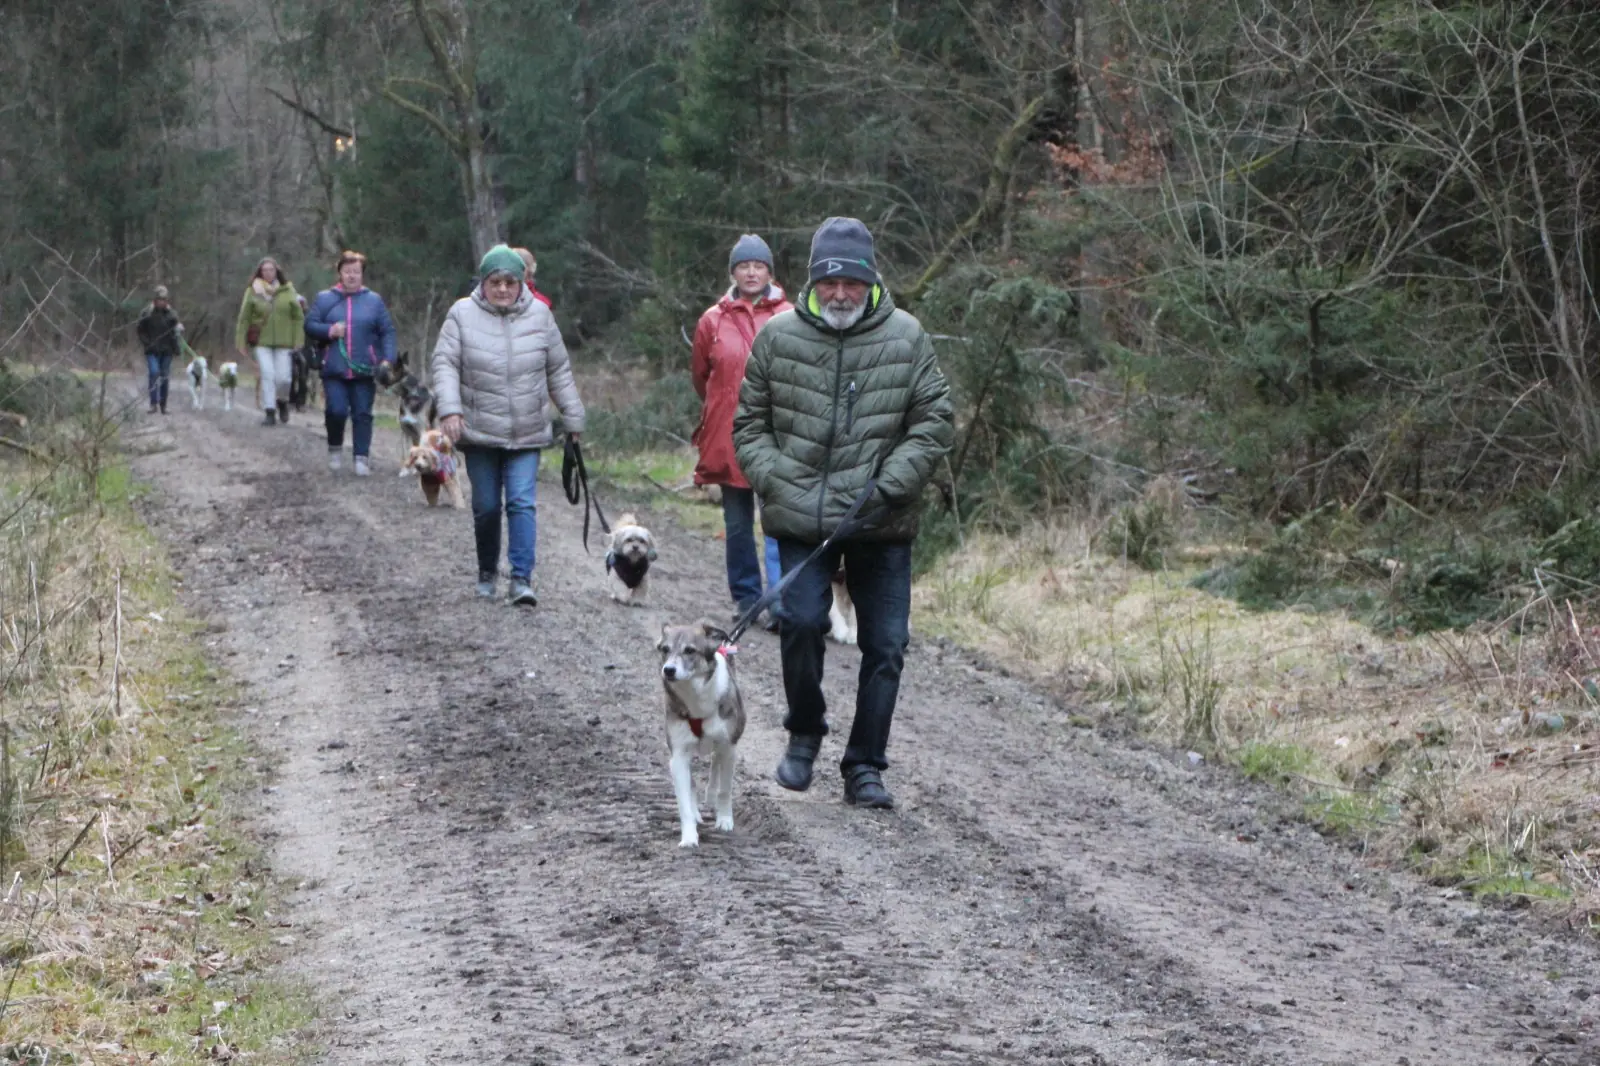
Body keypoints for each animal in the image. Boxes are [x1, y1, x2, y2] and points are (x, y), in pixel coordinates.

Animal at [658, 620, 746, 848]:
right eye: (665, 649)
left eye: (690, 650)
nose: (668, 670)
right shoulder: (679, 754)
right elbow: (684, 800)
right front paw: (689, 836)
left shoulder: (729, 746)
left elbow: (726, 789)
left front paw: (724, 820)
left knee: (716, 764)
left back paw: (712, 796)